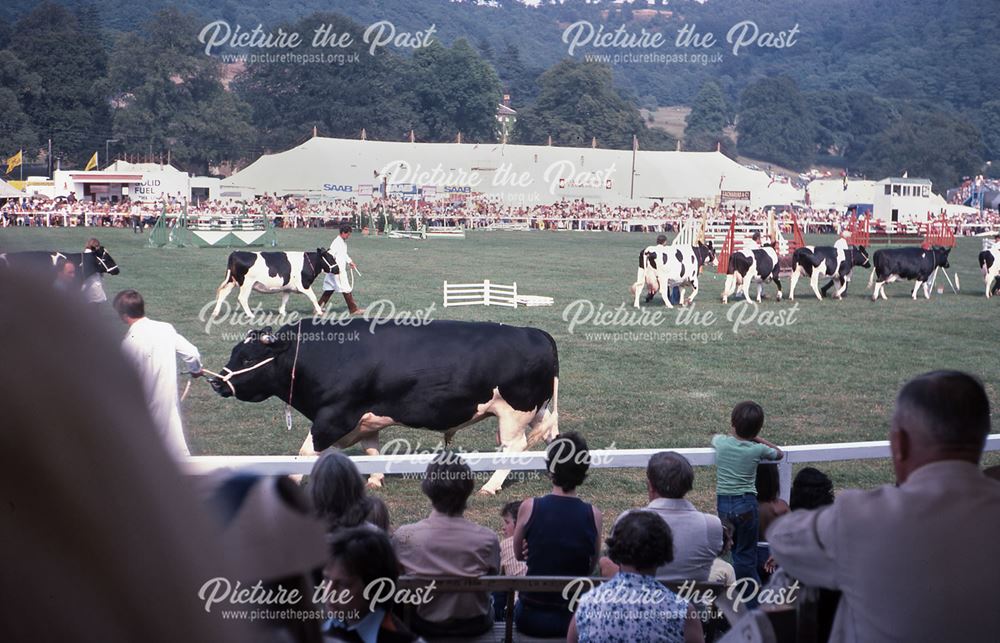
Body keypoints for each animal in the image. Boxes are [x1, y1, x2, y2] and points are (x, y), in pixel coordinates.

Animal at [211, 320, 560, 496]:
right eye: (235, 352)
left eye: (247, 357)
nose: (216, 382)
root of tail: (537, 332)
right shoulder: (365, 417)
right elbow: (371, 449)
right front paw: (375, 479)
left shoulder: (335, 415)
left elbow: (305, 453)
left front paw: (293, 482)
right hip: (536, 409)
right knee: (546, 435)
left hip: (513, 413)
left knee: (513, 447)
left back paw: (490, 486)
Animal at [212, 250, 340, 320]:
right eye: (330, 258)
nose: (338, 269)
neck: (308, 263)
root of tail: (235, 253)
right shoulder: (304, 285)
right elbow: (313, 297)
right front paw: (320, 312)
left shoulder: (287, 287)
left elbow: (285, 299)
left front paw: (282, 312)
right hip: (247, 284)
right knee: (242, 298)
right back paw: (250, 315)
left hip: (231, 281)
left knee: (223, 294)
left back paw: (215, 313)